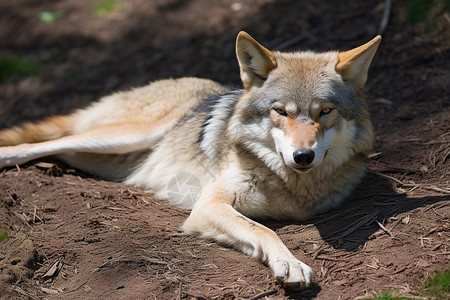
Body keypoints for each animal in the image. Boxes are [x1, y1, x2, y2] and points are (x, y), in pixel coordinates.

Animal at [0, 31, 380, 290]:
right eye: (280, 112)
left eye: (325, 112)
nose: (303, 156)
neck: (290, 186)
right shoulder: (208, 206)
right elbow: (265, 230)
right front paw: (290, 264)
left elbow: (264, 227)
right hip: (122, 135)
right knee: (36, 143)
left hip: (103, 156)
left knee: (53, 148)